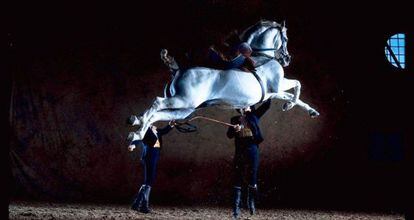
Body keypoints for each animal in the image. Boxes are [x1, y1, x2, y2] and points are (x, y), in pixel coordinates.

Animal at [126, 20, 320, 150]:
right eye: (285, 37)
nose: (287, 59)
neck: (261, 58)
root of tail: (177, 70)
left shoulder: (273, 92)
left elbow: (293, 95)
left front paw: (305, 109)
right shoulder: (278, 85)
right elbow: (297, 85)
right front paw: (290, 105)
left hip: (184, 109)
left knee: (157, 115)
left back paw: (136, 126)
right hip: (182, 100)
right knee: (157, 103)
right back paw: (137, 128)